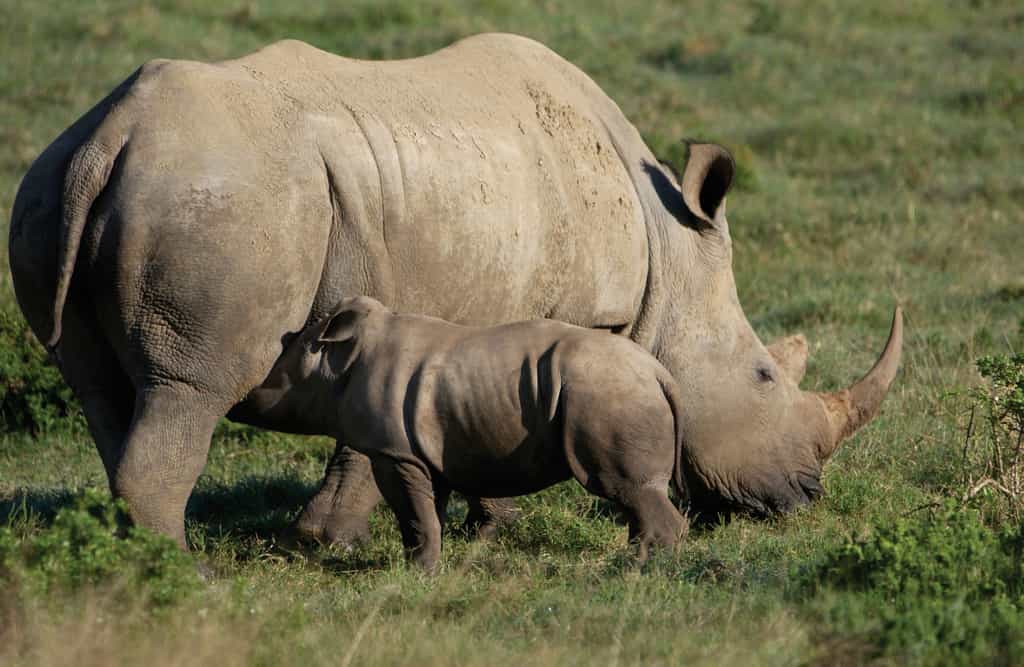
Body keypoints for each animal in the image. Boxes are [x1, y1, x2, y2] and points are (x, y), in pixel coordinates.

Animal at [255, 296, 689, 570]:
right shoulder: (424, 449)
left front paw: (417, 572)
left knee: (624, 487)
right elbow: (427, 511)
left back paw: (641, 570)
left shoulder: (394, 451)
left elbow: (411, 511)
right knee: (633, 495)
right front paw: (424, 564)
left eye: (276, 375)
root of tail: (659, 372)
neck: (338, 360)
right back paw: (640, 563)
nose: (250, 397)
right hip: (617, 389)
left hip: (611, 393)